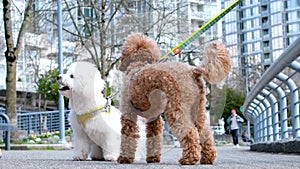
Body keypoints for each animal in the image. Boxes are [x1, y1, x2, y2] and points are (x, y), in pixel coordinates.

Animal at [116, 33, 230, 165]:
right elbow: (154, 136)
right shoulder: (154, 118)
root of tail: (193, 70)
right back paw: (207, 158)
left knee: (190, 132)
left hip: (177, 109)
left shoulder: (128, 114)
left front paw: (124, 158)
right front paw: (153, 158)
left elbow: (128, 135)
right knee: (205, 133)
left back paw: (188, 159)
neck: (138, 64)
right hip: (198, 110)